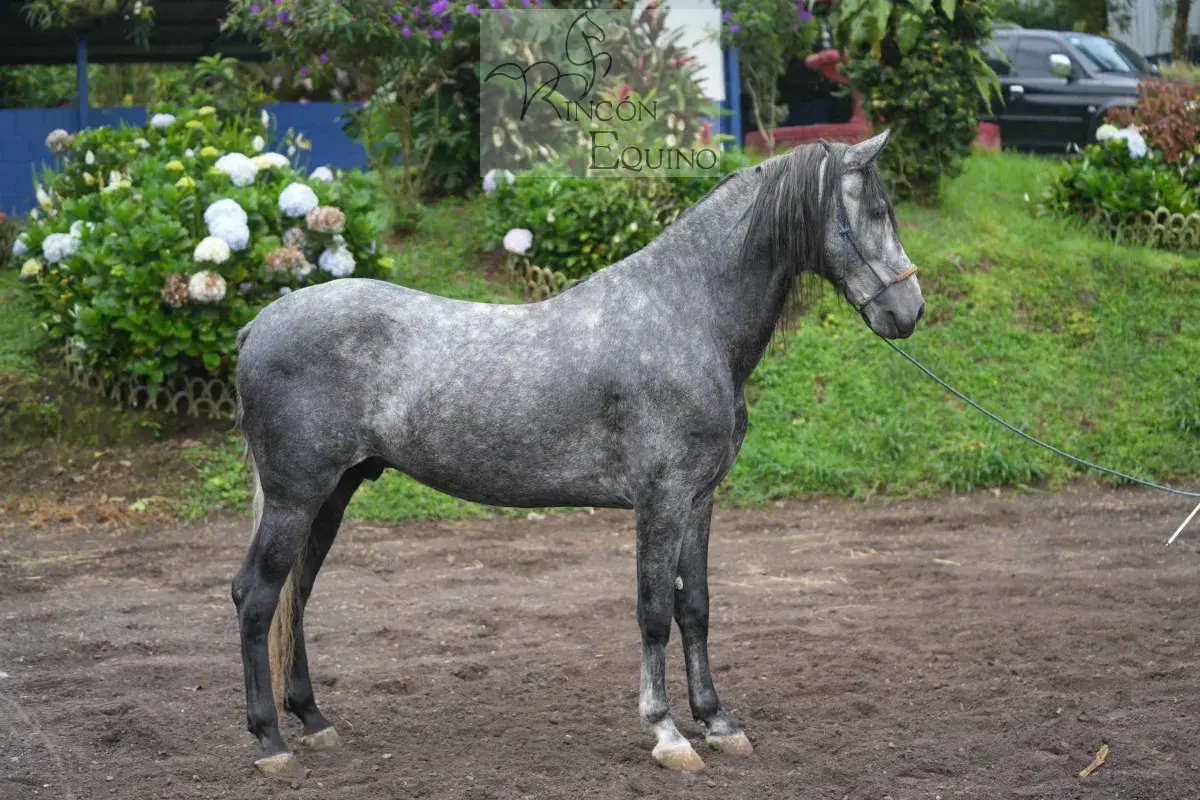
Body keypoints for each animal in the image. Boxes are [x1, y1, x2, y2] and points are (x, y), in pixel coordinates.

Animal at [230, 130, 924, 780]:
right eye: (875, 210)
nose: (910, 311)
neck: (686, 316)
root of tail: (259, 323)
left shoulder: (699, 500)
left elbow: (695, 608)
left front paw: (719, 722)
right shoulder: (660, 500)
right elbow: (653, 613)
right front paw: (667, 733)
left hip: (332, 495)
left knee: (297, 594)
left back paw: (313, 720)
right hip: (296, 498)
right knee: (257, 596)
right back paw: (271, 742)